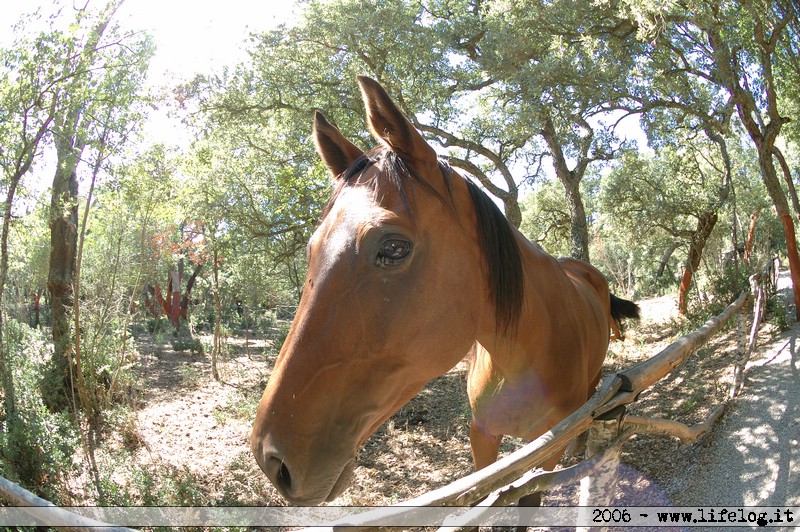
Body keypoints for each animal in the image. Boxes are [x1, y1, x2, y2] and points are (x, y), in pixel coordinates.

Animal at [250, 77, 636, 504]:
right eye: (311, 249)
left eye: (394, 247)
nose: (270, 459)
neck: (519, 358)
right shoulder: (482, 437)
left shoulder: (546, 450)